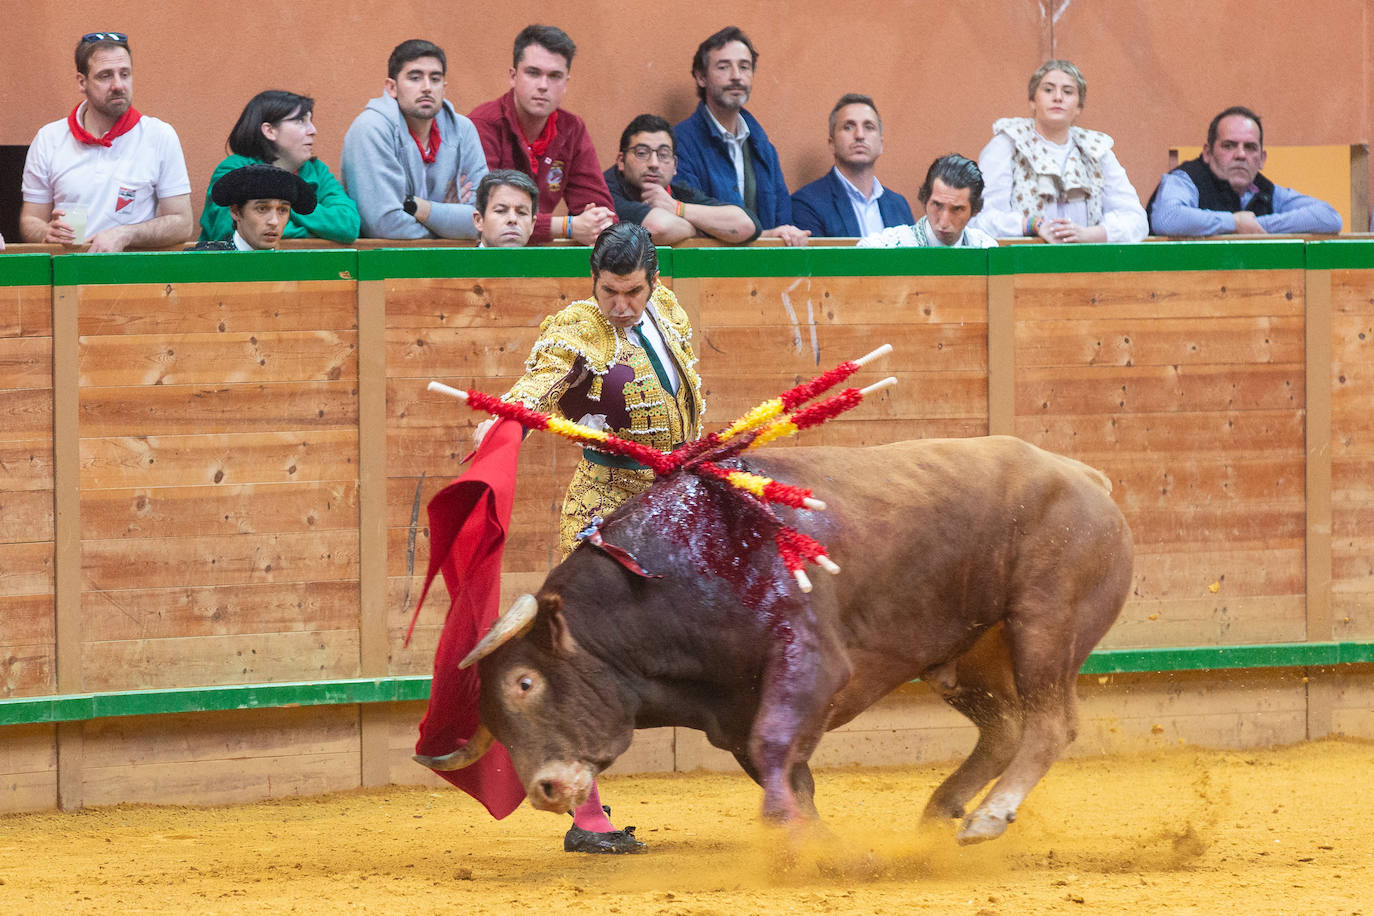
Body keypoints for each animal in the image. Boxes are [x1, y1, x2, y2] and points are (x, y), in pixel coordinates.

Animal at [423, 436, 1132, 845]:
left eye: (524, 682)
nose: (543, 790)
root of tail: (1088, 477)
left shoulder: (810, 662)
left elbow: (776, 753)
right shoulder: (735, 711)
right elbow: (787, 773)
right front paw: (813, 843)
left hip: (1044, 624)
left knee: (1049, 723)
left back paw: (987, 817)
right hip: (964, 656)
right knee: (1005, 725)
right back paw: (942, 810)